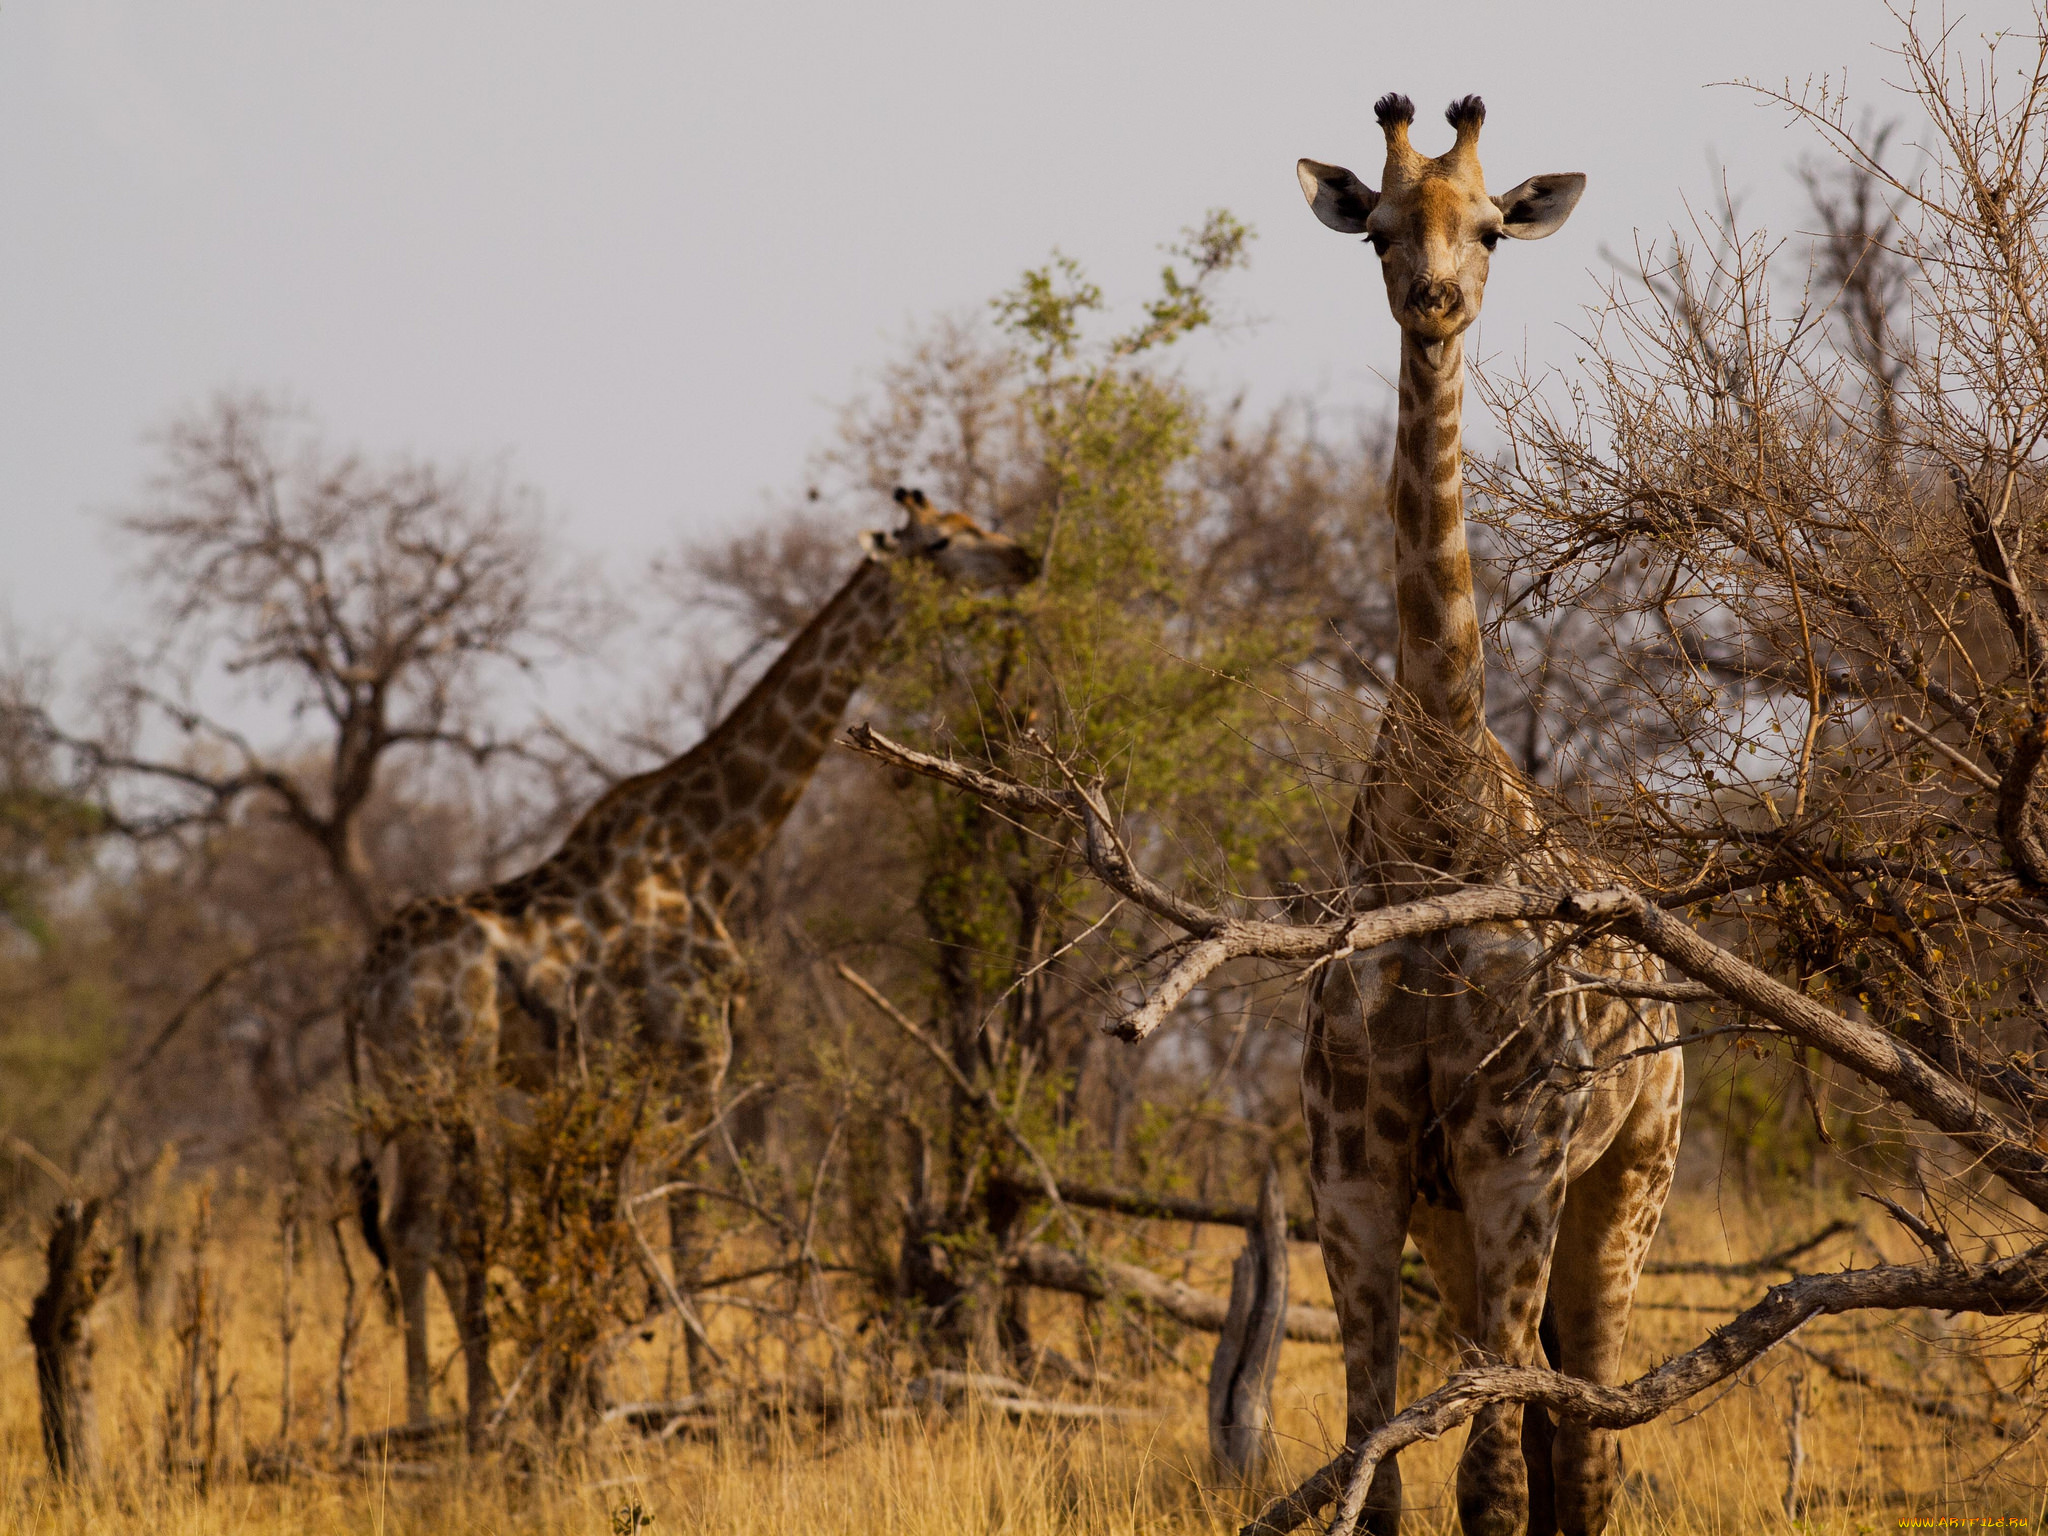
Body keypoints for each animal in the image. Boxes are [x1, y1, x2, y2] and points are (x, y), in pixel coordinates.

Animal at [350, 487, 1040, 1441]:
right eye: (941, 542)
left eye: (978, 521)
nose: (1027, 559)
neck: (713, 845)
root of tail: (364, 984)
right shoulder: (696, 1052)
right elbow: (683, 1216)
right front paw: (704, 1381)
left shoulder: (640, 1069)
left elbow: (642, 1211)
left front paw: (623, 1382)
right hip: (446, 1072)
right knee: (427, 1226)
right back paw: (440, 1415)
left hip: (410, 1085)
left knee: (418, 1229)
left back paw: (469, 1405)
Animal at [1302, 96, 1687, 1536]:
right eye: (1380, 229)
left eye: (1487, 228)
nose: (1436, 299)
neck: (1430, 831)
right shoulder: (1356, 1178)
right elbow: (1371, 1465)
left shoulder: (1518, 1164)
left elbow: (1486, 1476)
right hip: (1460, 1216)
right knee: (1546, 1415)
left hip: (1625, 1185)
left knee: (1582, 1432)